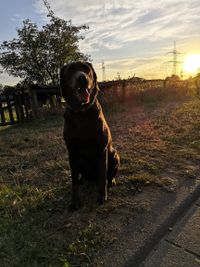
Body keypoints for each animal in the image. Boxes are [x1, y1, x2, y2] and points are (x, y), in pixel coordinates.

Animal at [60, 61, 119, 211]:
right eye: (70, 70)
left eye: (87, 70)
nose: (82, 77)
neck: (82, 113)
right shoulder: (72, 152)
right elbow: (74, 181)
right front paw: (74, 202)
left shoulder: (102, 150)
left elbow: (103, 175)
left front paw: (102, 196)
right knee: (81, 176)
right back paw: (83, 180)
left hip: (114, 155)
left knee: (108, 175)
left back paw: (111, 182)